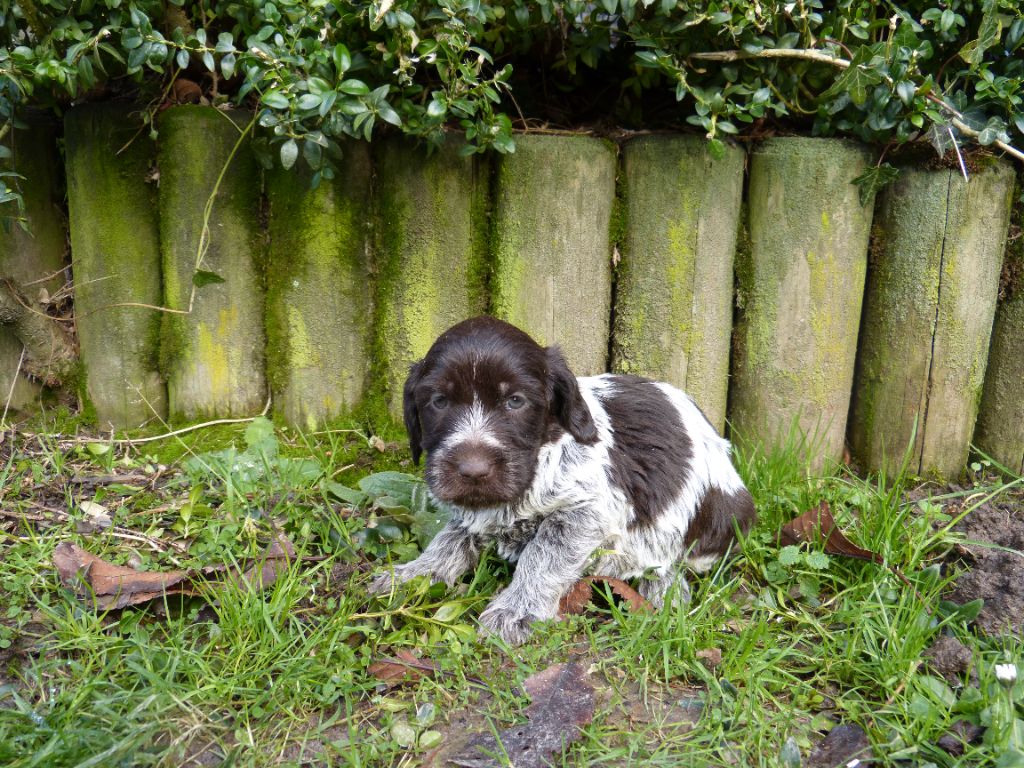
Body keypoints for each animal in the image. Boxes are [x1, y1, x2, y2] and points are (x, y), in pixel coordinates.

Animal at [372, 315, 757, 647]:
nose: (473, 470)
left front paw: (517, 610)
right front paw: (413, 574)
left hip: (718, 514)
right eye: (439, 401)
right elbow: (448, 540)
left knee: (676, 555)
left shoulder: (585, 512)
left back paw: (664, 588)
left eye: (515, 401)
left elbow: (543, 556)